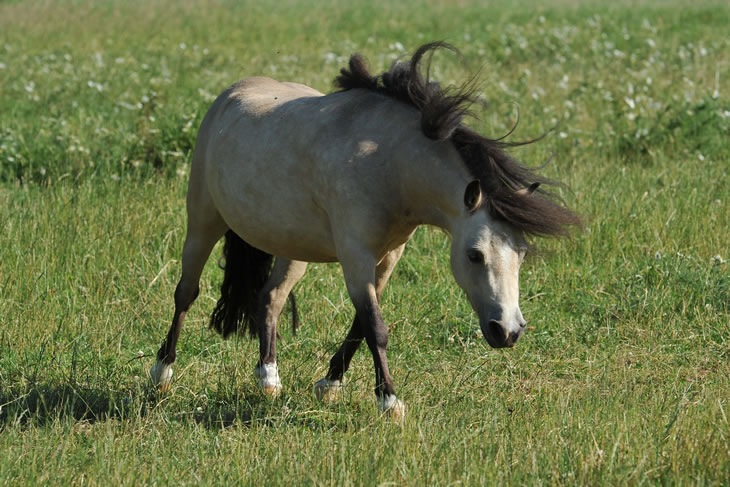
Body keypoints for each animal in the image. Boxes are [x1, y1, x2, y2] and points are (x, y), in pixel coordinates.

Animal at [149, 41, 580, 420]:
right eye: (475, 254)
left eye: (521, 254)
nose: (508, 331)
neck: (387, 160)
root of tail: (232, 93)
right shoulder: (355, 255)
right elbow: (375, 326)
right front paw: (389, 402)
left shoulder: (387, 257)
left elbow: (361, 323)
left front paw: (329, 385)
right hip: (203, 221)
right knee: (186, 293)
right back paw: (161, 374)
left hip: (292, 246)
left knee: (269, 299)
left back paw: (268, 379)